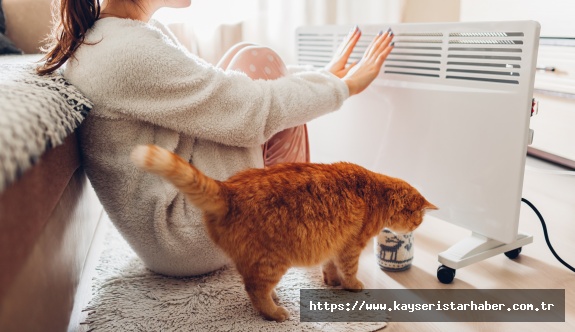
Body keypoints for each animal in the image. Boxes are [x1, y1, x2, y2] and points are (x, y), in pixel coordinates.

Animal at [130, 144, 436, 320]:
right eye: (417, 221)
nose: (417, 227)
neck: (377, 193)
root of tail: (229, 189)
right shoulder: (351, 247)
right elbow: (349, 271)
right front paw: (351, 285)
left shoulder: (334, 243)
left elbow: (330, 268)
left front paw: (332, 282)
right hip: (273, 261)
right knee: (254, 289)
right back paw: (275, 313)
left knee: (254, 285)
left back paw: (276, 298)